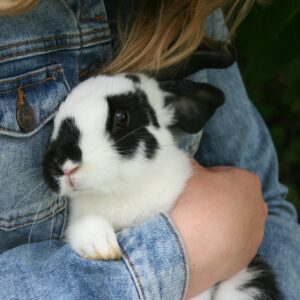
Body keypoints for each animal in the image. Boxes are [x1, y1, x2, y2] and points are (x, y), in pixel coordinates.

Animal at [43, 73, 280, 300]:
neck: (122, 191)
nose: (65, 166)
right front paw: (101, 247)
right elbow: (85, 227)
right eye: (55, 123)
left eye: (122, 117)